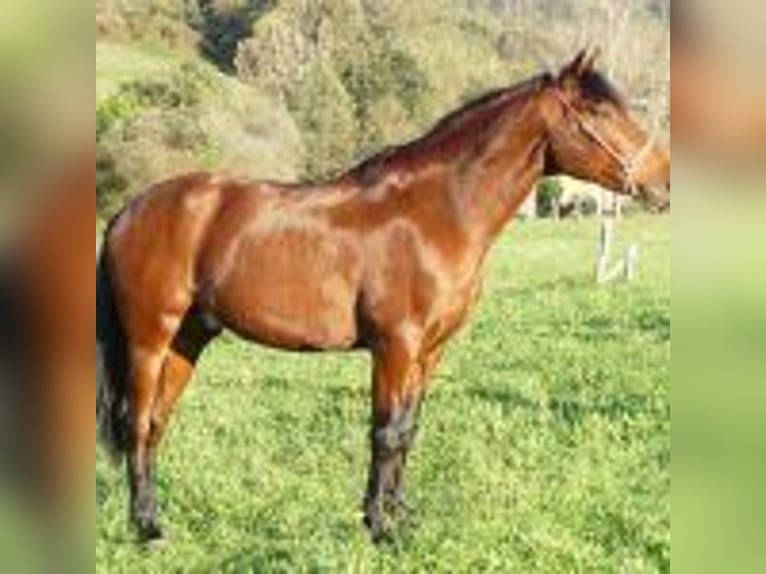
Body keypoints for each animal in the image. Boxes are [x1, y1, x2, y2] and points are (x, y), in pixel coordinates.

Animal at [97, 49, 670, 545]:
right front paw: (380, 528)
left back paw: (153, 518)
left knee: (156, 424)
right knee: (137, 423)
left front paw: (400, 516)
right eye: (599, 110)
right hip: (149, 340)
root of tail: (129, 210)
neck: (435, 211)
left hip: (187, 340)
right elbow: (386, 432)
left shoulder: (429, 351)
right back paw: (146, 529)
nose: (662, 180)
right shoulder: (395, 345)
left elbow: (408, 430)